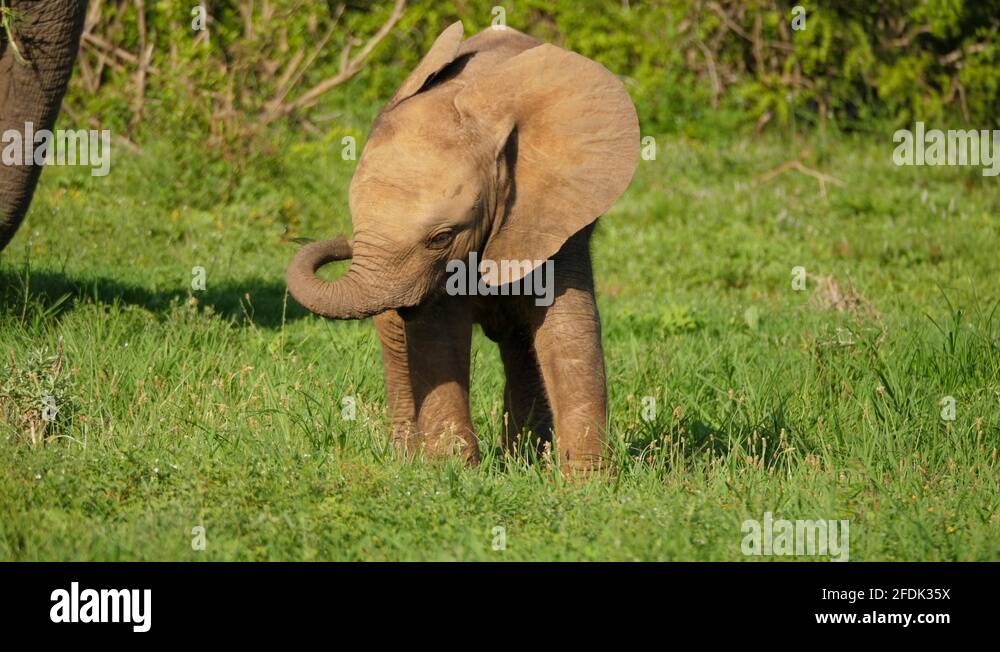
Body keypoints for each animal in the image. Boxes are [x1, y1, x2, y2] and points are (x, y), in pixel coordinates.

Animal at [286, 22, 639, 474]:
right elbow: (437, 331)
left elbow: (568, 328)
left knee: (520, 343)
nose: (341, 243)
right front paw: (450, 471)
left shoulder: (555, 216)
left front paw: (587, 481)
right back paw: (409, 458)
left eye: (441, 237)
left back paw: (523, 458)